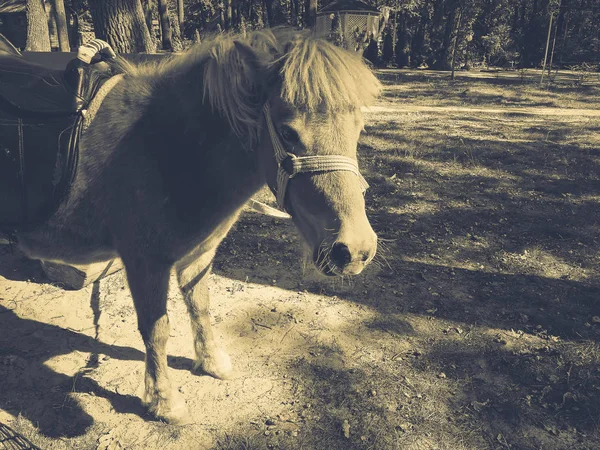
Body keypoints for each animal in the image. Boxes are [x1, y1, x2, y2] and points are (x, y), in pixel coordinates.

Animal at [12, 28, 380, 422]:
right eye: (288, 132)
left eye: (358, 128)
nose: (354, 250)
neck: (164, 149)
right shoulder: (144, 261)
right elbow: (156, 328)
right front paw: (163, 401)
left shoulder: (199, 253)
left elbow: (200, 306)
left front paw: (212, 362)